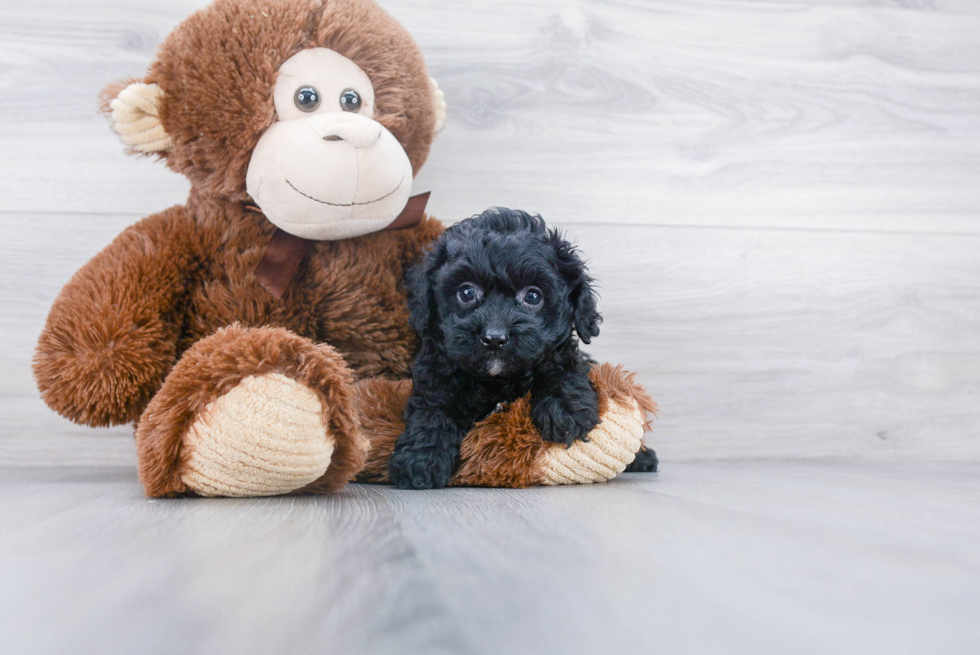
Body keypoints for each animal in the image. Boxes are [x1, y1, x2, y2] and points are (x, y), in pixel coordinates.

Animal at [390, 208, 604, 490]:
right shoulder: (435, 380)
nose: (494, 337)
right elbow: (432, 411)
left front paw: (566, 410)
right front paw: (421, 458)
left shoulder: (561, 356)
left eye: (533, 296)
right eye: (466, 292)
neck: (496, 379)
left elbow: (563, 369)